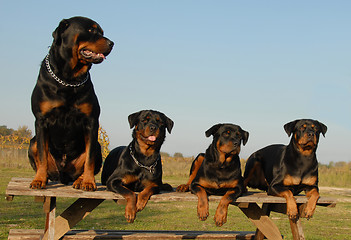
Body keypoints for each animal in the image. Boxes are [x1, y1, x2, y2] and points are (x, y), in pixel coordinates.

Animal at [29, 15, 114, 190]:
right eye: (91, 30)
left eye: (102, 32)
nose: (112, 43)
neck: (68, 79)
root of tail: (63, 175)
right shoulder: (41, 120)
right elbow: (41, 154)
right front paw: (39, 180)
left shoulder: (91, 121)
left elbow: (89, 159)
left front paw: (88, 182)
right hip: (32, 142)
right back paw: (44, 177)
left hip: (98, 147)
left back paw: (80, 180)